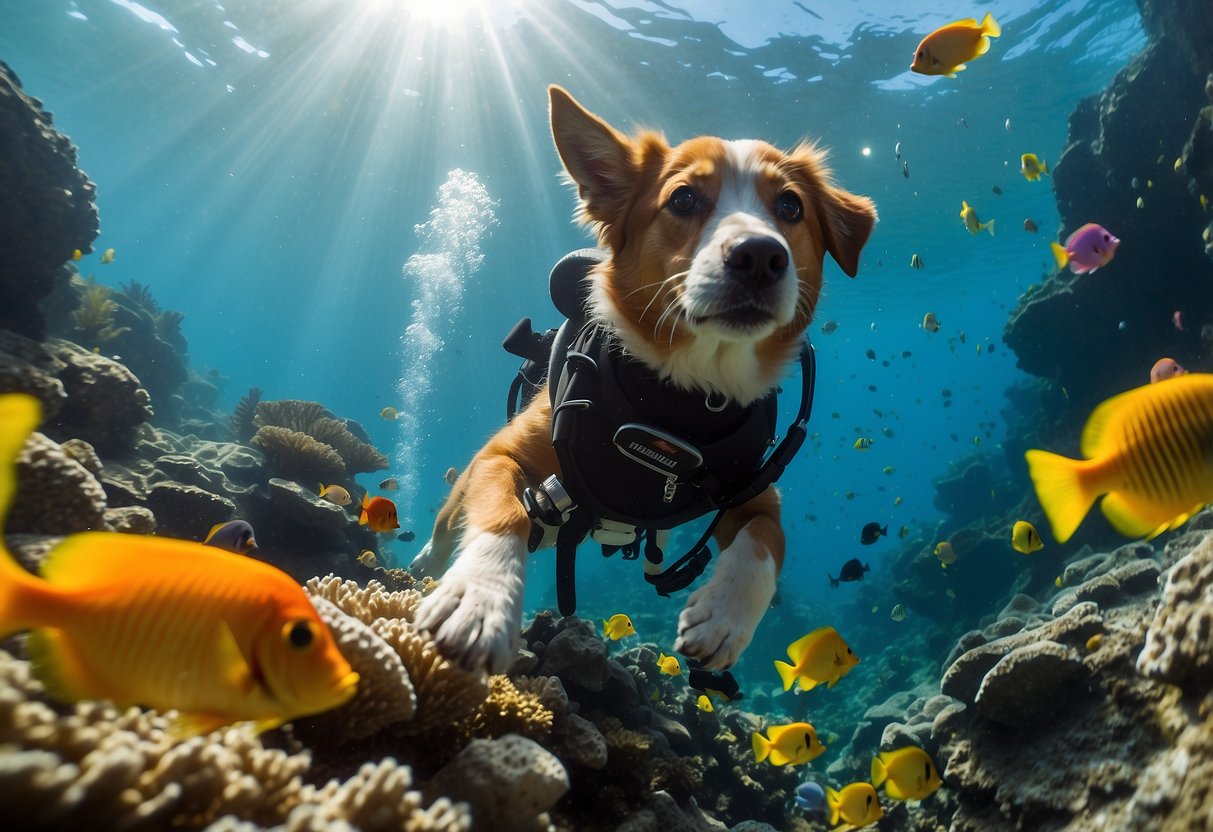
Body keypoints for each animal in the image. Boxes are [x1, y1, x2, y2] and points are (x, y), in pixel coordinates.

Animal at [412, 84, 878, 674]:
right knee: (451, 522)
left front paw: (724, 616)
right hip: (481, 489)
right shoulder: (502, 456)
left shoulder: (757, 492)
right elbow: (503, 516)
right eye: (682, 200)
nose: (759, 255)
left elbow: (766, 541)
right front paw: (481, 600)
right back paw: (429, 564)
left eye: (791, 206)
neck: (679, 396)